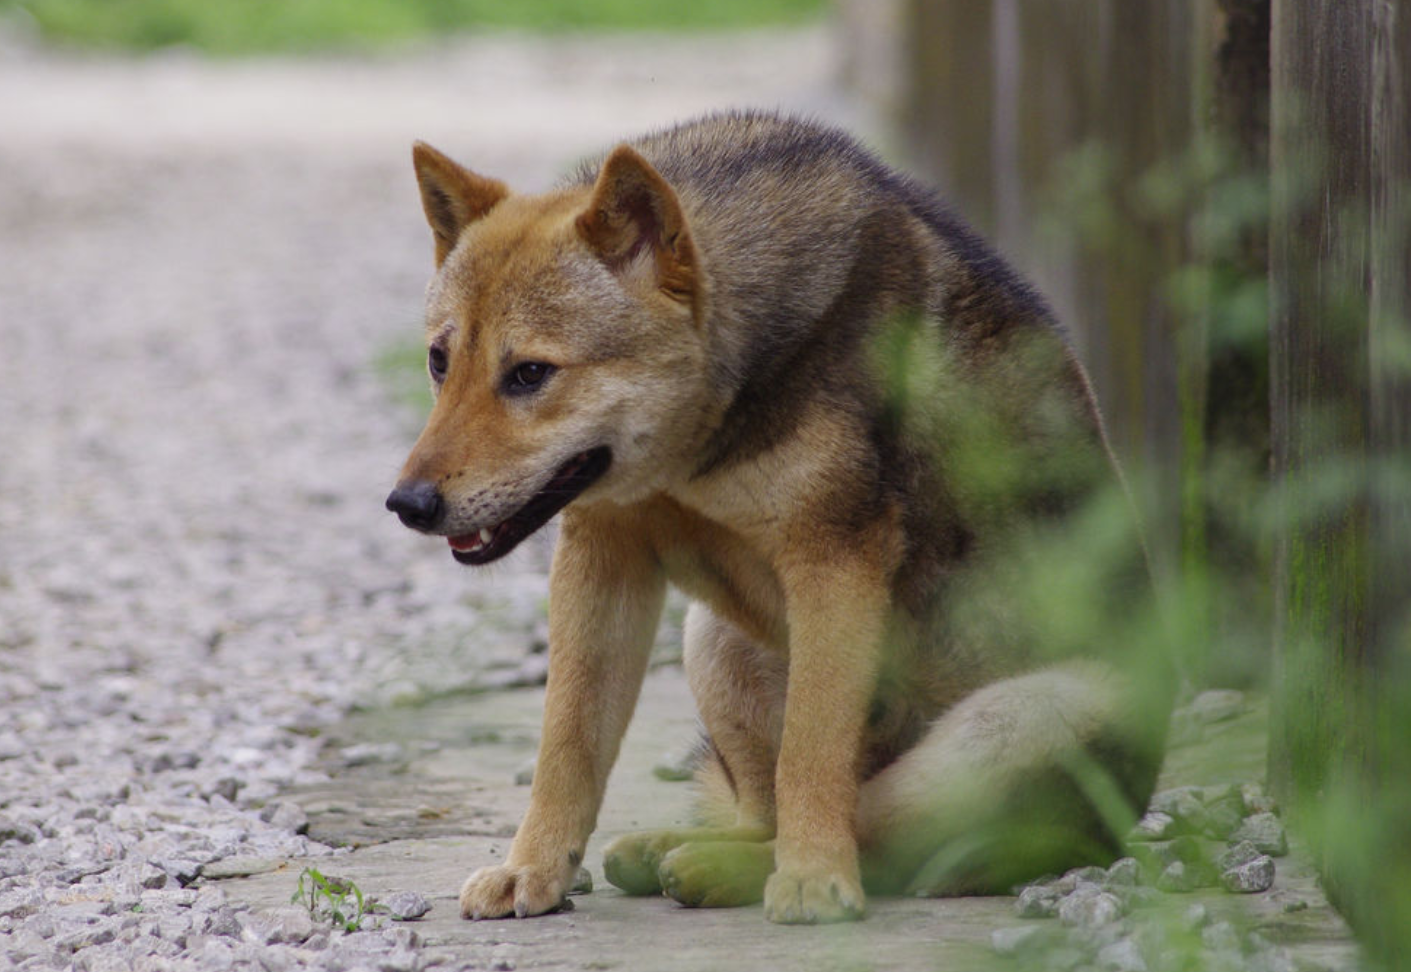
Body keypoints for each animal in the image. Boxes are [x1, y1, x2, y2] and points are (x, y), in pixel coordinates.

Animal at [383, 110, 1168, 919]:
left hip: (1023, 718)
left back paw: (732, 867)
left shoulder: (834, 563)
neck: (697, 447)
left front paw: (814, 881)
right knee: (767, 809)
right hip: (714, 639)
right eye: (440, 362)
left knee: (872, 828)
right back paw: (680, 851)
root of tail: (1100, 836)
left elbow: (811, 757)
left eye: (530, 374)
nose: (407, 504)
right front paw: (533, 870)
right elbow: (567, 744)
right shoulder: (602, 556)